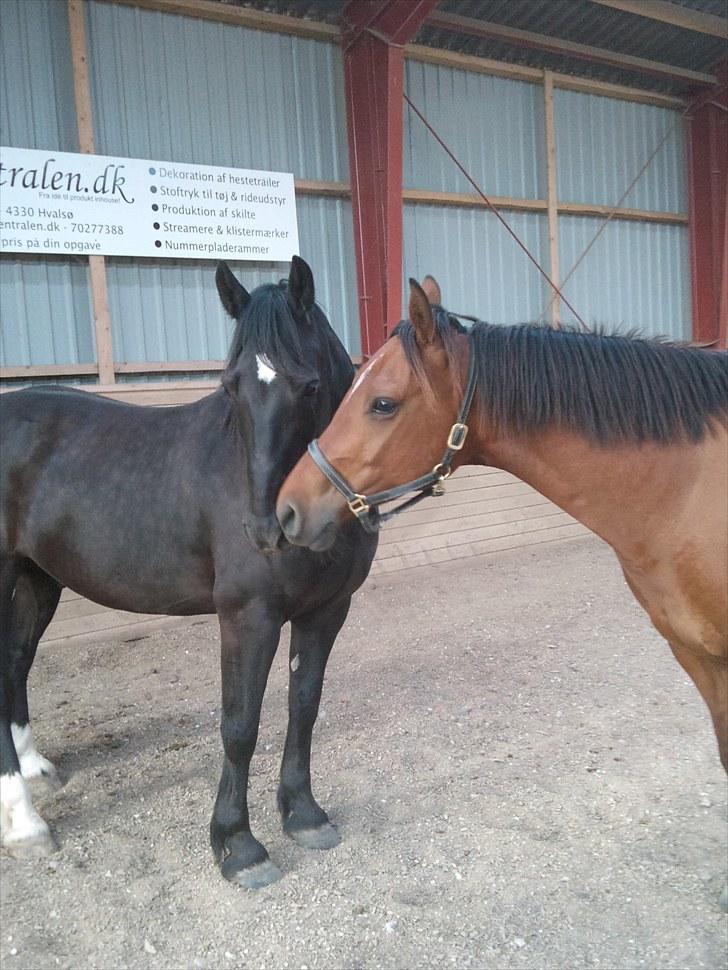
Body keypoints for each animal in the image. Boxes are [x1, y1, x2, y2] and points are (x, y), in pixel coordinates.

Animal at [0, 255, 376, 884]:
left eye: (311, 386)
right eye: (230, 387)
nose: (268, 528)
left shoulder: (327, 611)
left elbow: (304, 708)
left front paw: (304, 815)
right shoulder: (248, 617)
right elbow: (240, 725)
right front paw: (237, 844)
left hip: (38, 577)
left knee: (16, 661)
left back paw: (34, 773)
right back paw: (24, 823)